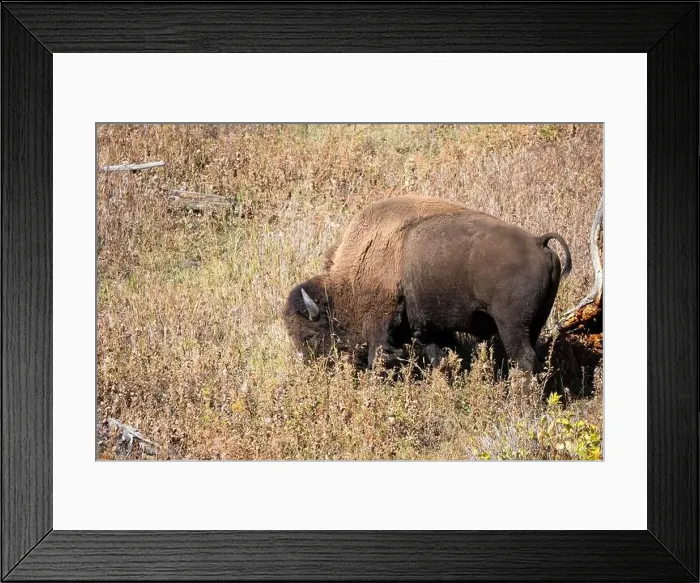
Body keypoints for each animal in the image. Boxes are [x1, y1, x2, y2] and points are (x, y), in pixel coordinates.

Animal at [284, 196, 571, 373]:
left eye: (309, 336)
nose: (314, 370)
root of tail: (537, 242)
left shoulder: (380, 323)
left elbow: (381, 356)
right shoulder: (430, 328)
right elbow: (439, 356)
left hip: (512, 326)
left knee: (523, 360)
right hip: (535, 323)